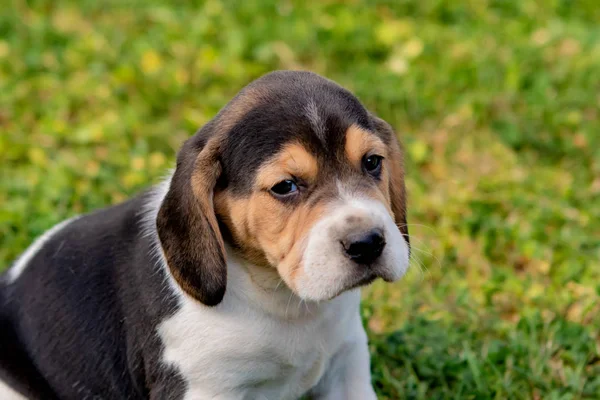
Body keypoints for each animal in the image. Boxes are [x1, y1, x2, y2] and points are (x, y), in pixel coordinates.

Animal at [0, 70, 410, 398]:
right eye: (285, 187)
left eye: (372, 162)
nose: (368, 243)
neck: (279, 298)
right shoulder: (204, 387)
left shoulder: (347, 361)